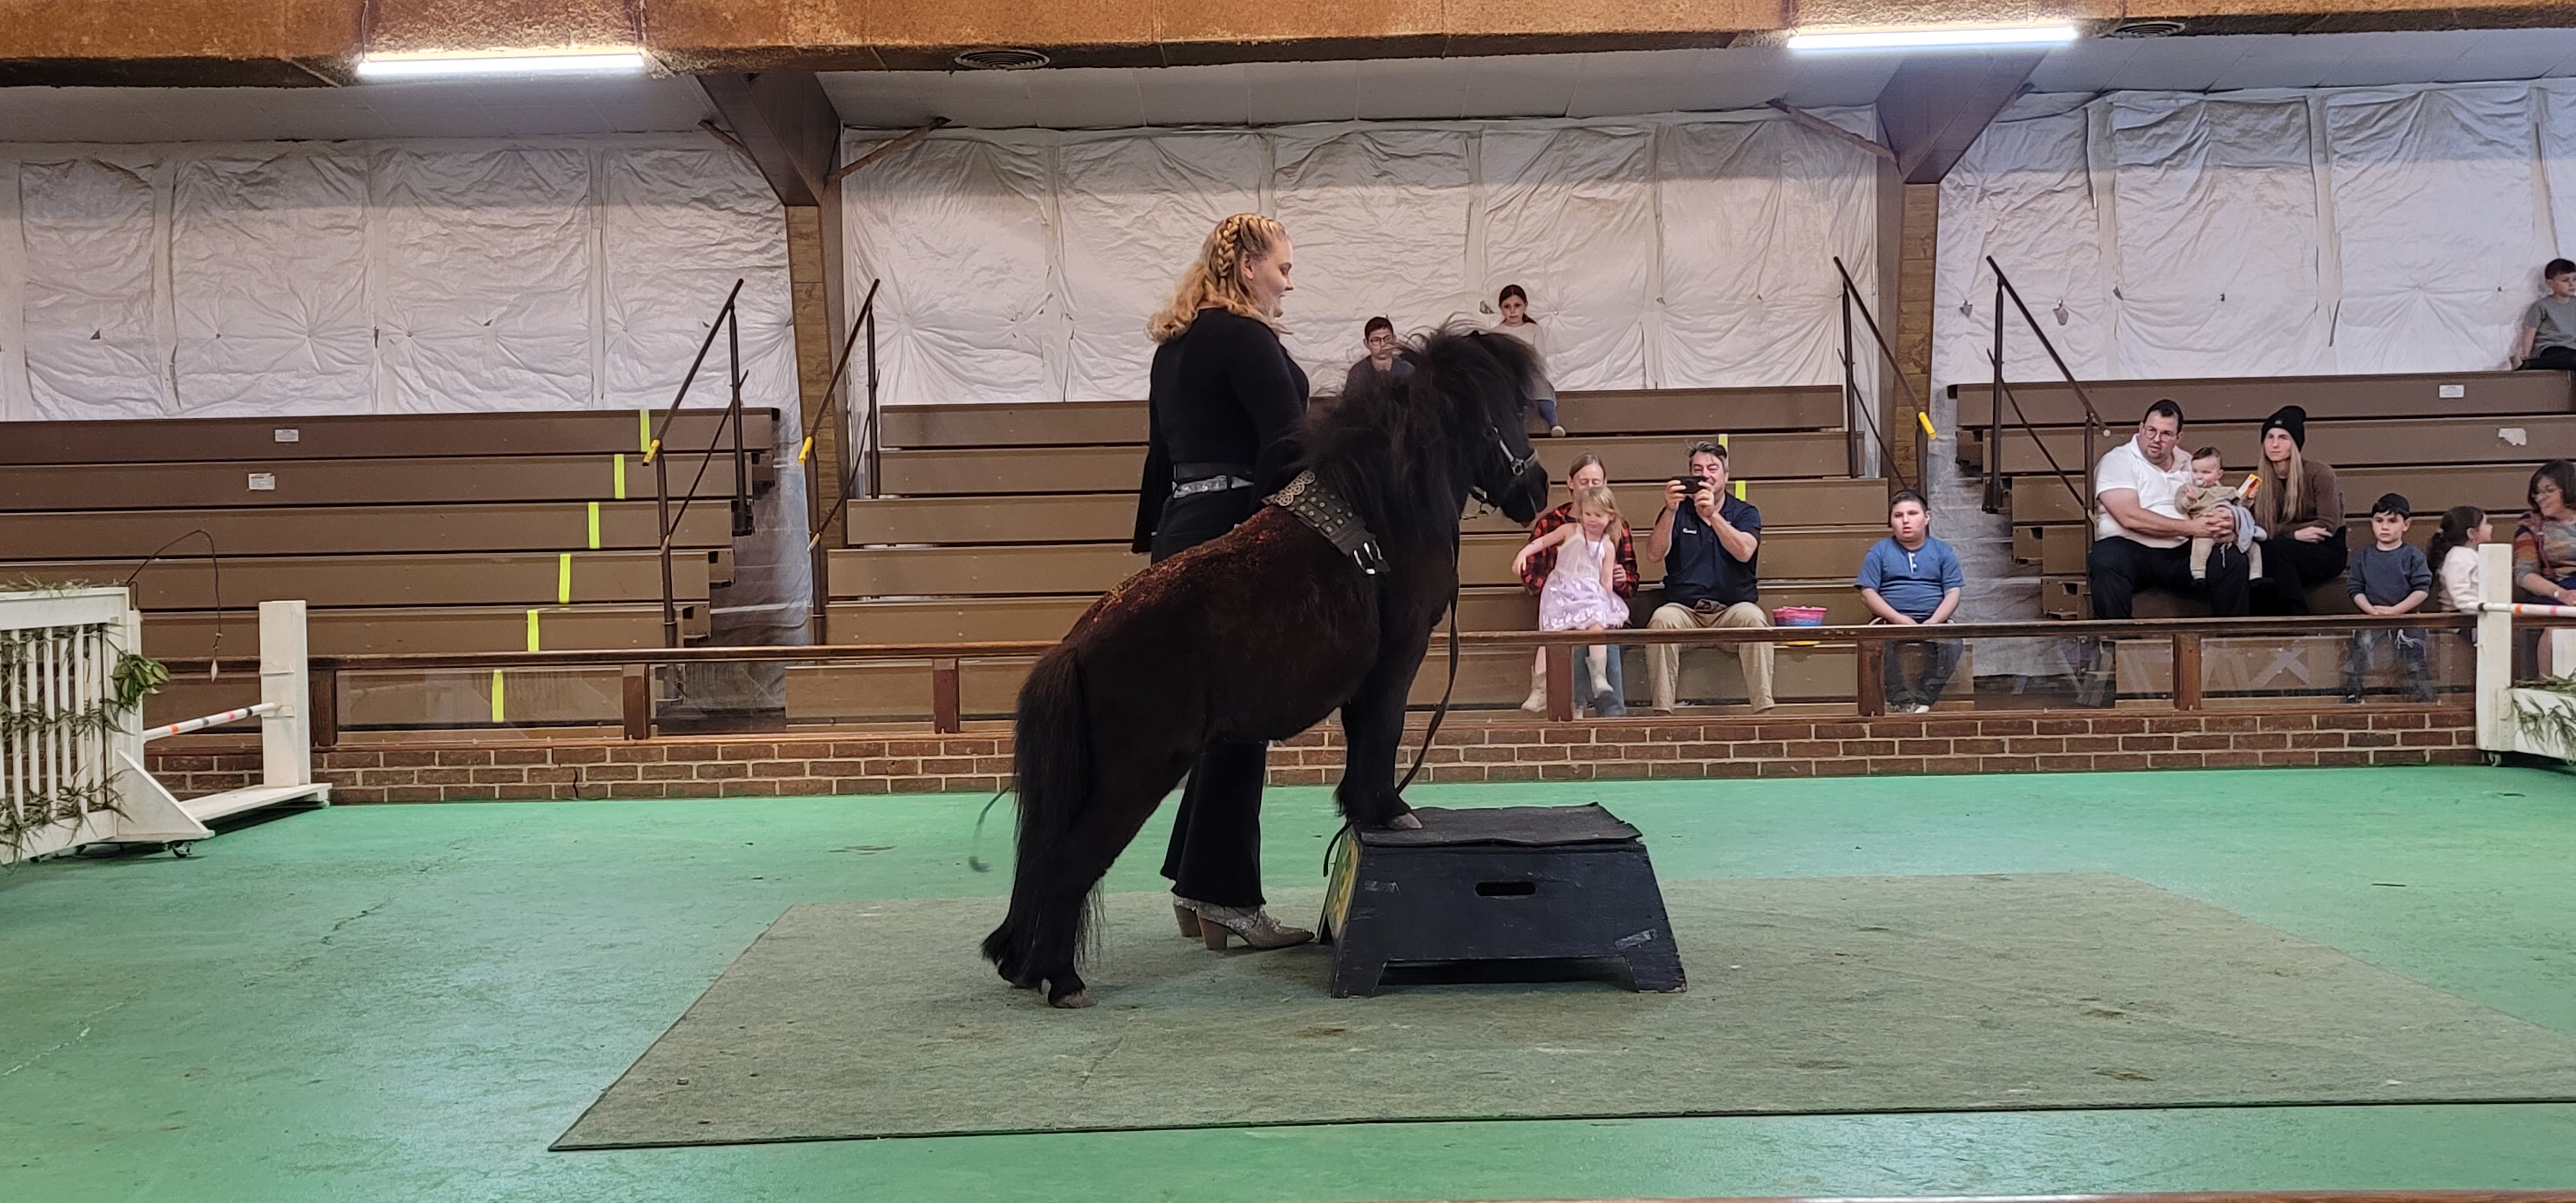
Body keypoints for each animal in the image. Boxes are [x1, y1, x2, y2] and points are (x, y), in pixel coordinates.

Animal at [982, 329, 1553, 1008]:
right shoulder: (1399, 658)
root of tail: (1076, 646)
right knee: (1069, 864)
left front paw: (1363, 811)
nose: (1539, 489)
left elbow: (1364, 739)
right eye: (1512, 411)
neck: (1381, 518)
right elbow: (1384, 734)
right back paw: (1064, 981)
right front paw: (1390, 811)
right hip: (1135, 775)